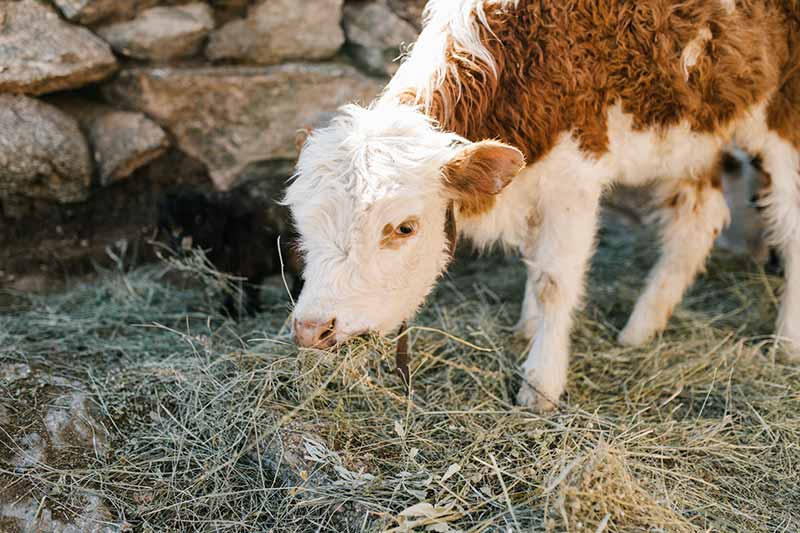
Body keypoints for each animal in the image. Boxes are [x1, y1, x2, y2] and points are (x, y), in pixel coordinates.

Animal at [288, 0, 800, 410]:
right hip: (695, 128)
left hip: (782, 115)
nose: (312, 328)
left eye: (404, 227)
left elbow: (555, 279)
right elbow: (534, 261)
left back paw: (786, 342)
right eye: (302, 227)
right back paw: (640, 329)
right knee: (700, 219)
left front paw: (541, 384)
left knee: (789, 223)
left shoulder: (574, 176)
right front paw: (527, 328)